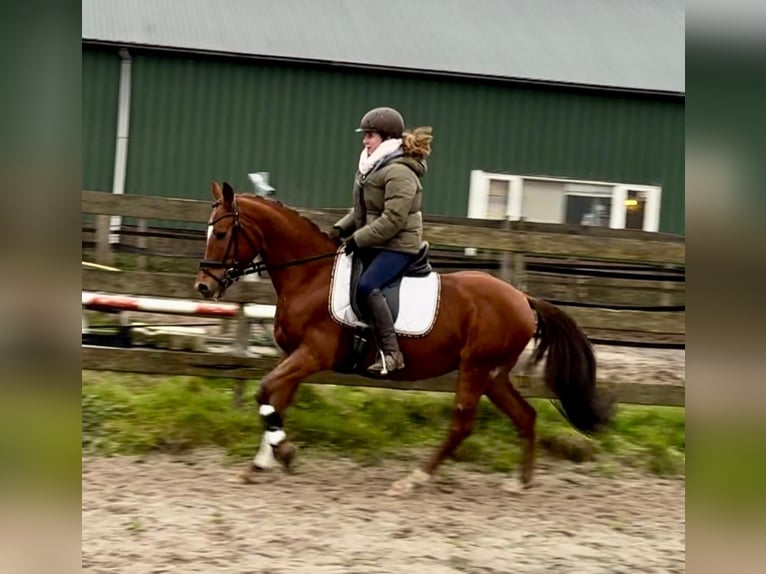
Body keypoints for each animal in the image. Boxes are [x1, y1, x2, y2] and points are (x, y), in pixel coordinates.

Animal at [195, 182, 616, 498]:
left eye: (221, 233)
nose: (203, 287)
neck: (309, 275)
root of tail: (523, 299)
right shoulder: (295, 356)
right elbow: (276, 400)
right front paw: (261, 464)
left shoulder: (313, 354)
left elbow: (264, 391)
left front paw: (283, 452)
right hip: (493, 374)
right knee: (525, 416)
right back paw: (521, 482)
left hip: (476, 369)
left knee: (462, 424)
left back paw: (414, 479)